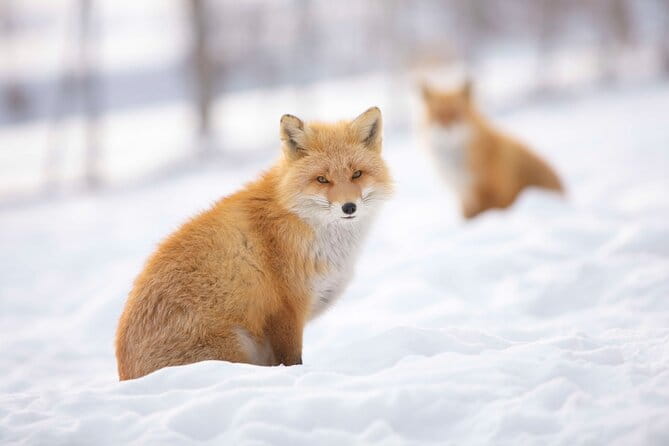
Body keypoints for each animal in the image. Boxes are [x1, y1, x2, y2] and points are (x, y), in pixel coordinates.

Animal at [115, 107, 392, 380]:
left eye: (356, 174)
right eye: (322, 179)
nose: (349, 207)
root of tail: (125, 374)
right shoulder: (286, 311)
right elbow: (292, 361)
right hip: (236, 347)